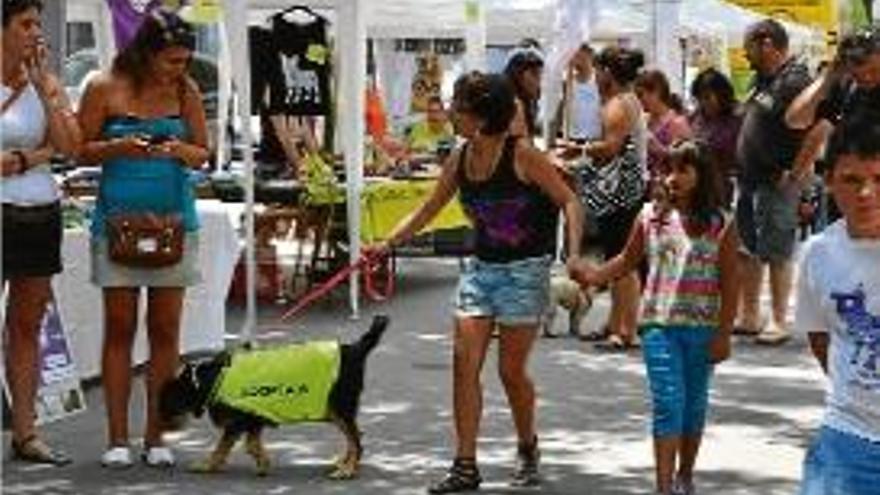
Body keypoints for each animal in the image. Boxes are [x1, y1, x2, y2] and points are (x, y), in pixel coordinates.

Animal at [159, 316, 392, 478]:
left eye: (167, 398)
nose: (161, 419)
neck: (213, 378)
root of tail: (356, 349)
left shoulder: (239, 422)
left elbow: (224, 447)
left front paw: (207, 465)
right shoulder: (253, 419)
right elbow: (252, 444)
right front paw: (263, 463)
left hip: (339, 408)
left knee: (357, 441)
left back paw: (348, 470)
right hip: (334, 411)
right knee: (355, 437)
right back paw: (345, 463)